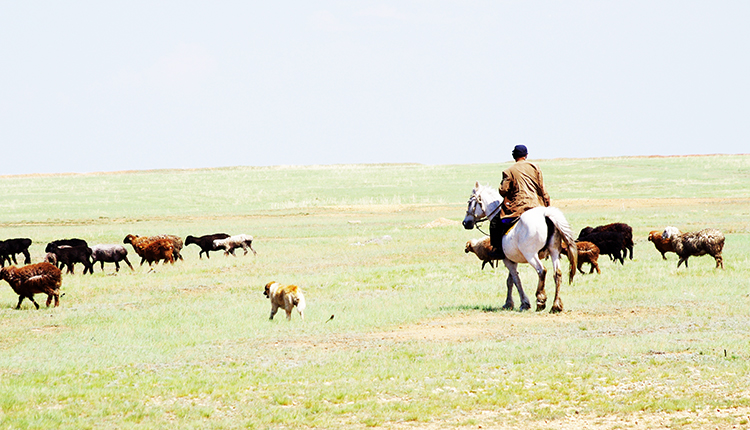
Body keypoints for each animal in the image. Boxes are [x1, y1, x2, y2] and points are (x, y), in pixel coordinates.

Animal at [462, 181, 580, 312]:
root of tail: (546, 214)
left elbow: (516, 280)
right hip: (554, 252)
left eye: (470, 203)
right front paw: (509, 303)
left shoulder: (507, 260)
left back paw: (540, 300)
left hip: (531, 255)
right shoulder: (512, 259)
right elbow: (510, 280)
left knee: (541, 271)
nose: (465, 222)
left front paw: (523, 303)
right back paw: (556, 306)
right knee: (557, 274)